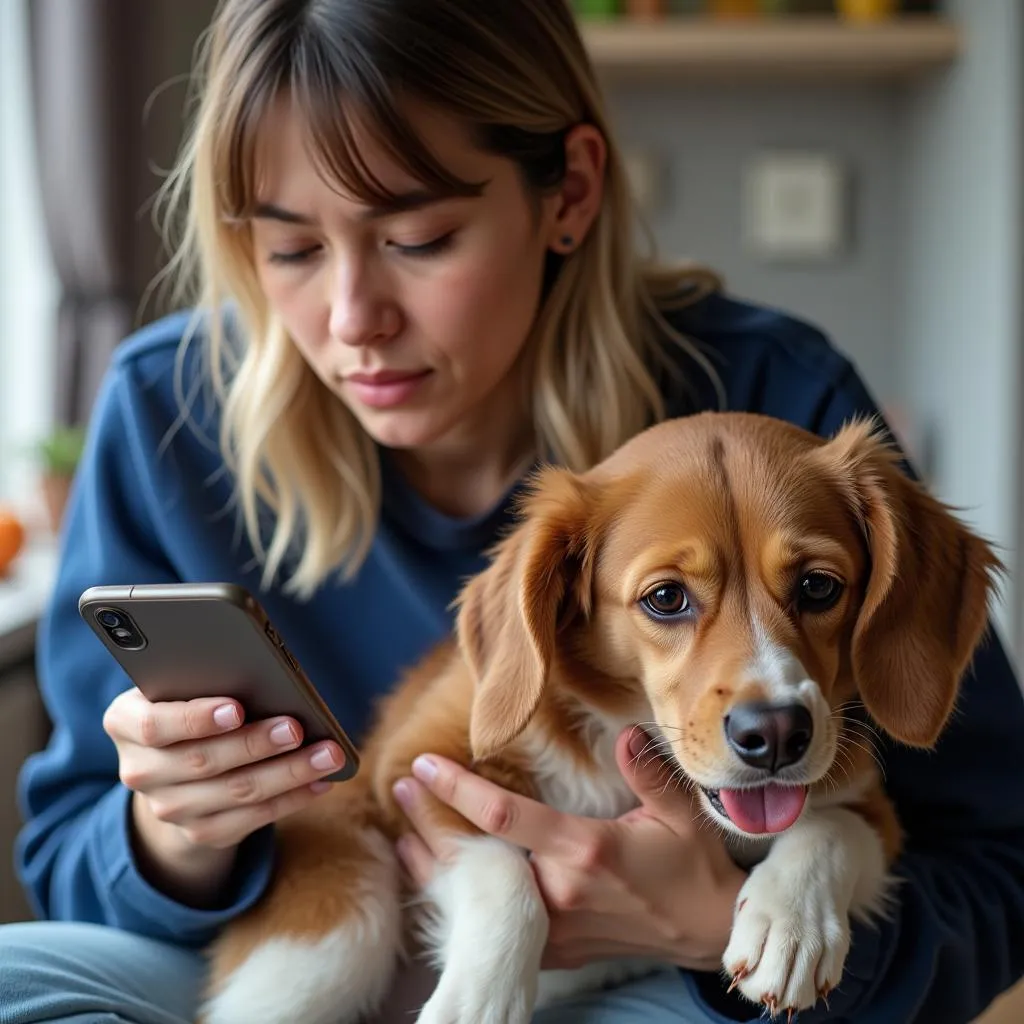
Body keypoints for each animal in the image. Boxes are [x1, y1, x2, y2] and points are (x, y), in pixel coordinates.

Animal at [195, 411, 1003, 1024]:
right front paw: (480, 997)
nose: (775, 734)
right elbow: (501, 869)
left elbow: (830, 831)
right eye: (666, 598)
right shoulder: (408, 769)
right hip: (331, 942)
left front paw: (788, 923)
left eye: (819, 587)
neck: (620, 738)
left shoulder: (868, 804)